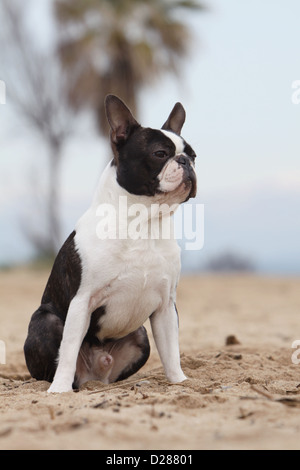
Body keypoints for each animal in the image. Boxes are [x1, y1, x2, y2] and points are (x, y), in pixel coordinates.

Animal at [23, 93, 197, 392]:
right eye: (160, 154)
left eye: (194, 155)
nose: (186, 161)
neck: (143, 223)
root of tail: (94, 376)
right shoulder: (82, 301)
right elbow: (68, 348)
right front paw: (58, 391)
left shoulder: (166, 307)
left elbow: (171, 350)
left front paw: (179, 381)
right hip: (46, 320)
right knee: (59, 358)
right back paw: (65, 384)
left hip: (140, 335)